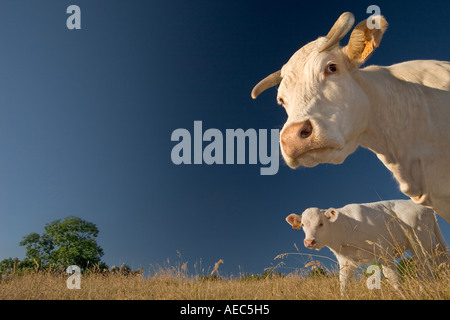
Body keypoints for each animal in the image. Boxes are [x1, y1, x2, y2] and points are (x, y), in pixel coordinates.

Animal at [286, 200, 448, 292]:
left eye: (321, 223)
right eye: (302, 224)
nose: (309, 242)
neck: (345, 227)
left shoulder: (384, 251)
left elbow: (393, 278)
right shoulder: (345, 261)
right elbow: (343, 283)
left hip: (420, 244)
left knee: (425, 269)